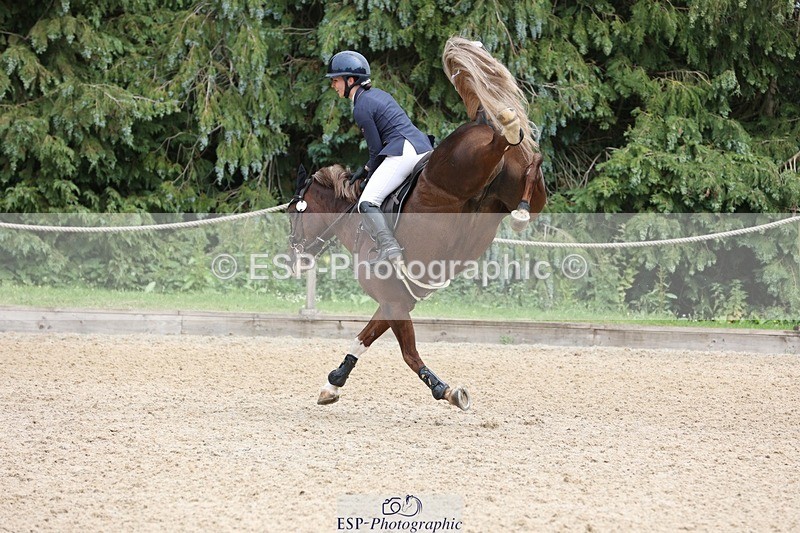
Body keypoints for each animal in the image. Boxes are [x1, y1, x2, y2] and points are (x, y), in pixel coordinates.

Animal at [288, 37, 546, 410]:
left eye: (293, 212)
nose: (294, 257)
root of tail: (479, 122)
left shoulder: (393, 302)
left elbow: (409, 354)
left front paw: (446, 390)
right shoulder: (394, 301)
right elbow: (362, 340)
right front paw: (332, 384)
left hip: (462, 167)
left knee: (503, 138)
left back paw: (507, 124)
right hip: (511, 192)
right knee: (533, 163)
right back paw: (523, 205)